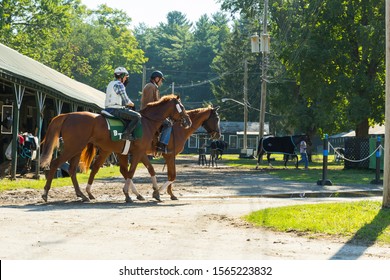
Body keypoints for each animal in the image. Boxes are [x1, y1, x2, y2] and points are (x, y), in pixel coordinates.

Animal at [40, 95, 192, 202]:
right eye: (182, 107)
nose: (188, 121)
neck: (147, 122)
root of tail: (67, 115)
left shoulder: (139, 152)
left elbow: (149, 169)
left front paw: (155, 192)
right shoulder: (138, 153)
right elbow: (131, 172)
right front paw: (128, 194)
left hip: (78, 149)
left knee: (72, 170)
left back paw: (82, 194)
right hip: (73, 148)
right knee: (55, 163)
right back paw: (46, 193)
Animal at [82, 106, 221, 200]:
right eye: (217, 118)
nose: (218, 135)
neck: (178, 129)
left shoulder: (159, 155)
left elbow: (164, 173)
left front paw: (169, 193)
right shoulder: (169, 155)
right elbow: (172, 175)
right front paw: (161, 192)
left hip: (112, 151)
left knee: (108, 169)